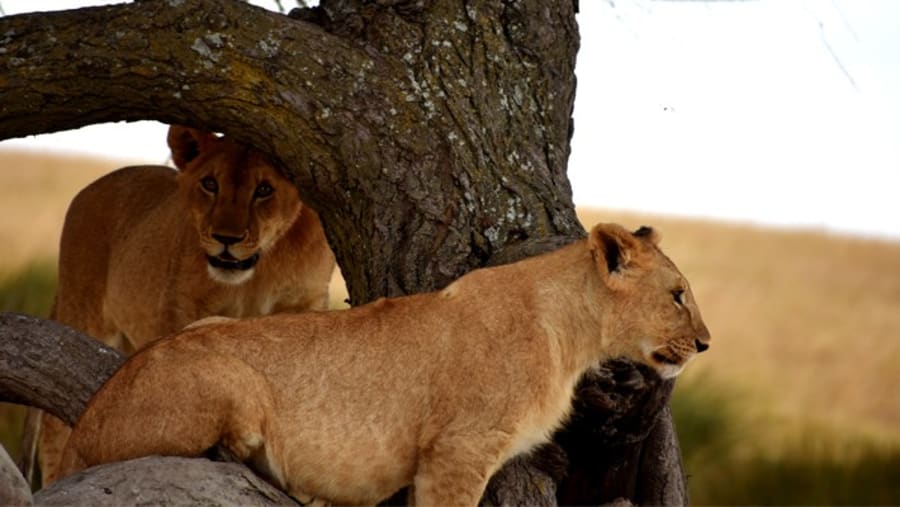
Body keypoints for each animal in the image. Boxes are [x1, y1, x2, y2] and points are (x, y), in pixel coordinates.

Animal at [31, 125, 335, 485]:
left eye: (264, 190)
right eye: (210, 184)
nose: (226, 239)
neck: (259, 272)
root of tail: (92, 186)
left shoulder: (306, 303)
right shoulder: (185, 313)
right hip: (82, 309)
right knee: (53, 430)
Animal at [58, 223, 709, 505]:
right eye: (678, 294)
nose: (705, 343)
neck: (574, 336)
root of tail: (82, 428)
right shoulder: (457, 452)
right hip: (229, 377)